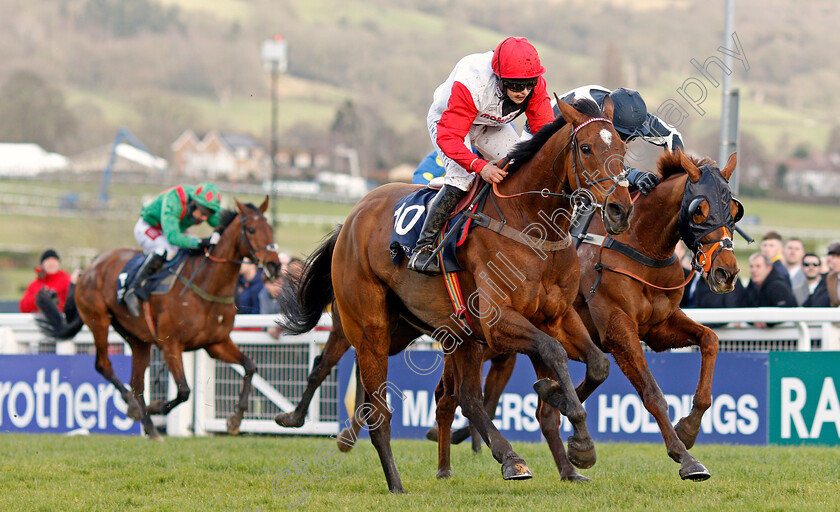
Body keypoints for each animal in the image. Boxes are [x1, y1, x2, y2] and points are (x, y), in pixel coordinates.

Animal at [37, 198, 282, 438]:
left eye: (271, 229)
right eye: (251, 229)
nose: (275, 265)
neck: (205, 285)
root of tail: (88, 268)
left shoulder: (216, 343)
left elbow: (250, 366)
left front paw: (235, 419)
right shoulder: (171, 344)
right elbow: (184, 391)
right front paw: (155, 407)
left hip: (137, 338)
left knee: (136, 383)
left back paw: (150, 427)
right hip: (99, 320)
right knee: (104, 365)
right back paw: (134, 408)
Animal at [278, 98, 632, 494]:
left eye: (622, 148)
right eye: (585, 148)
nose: (620, 209)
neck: (529, 226)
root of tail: (352, 217)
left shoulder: (556, 317)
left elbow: (598, 364)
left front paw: (561, 410)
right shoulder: (498, 323)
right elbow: (553, 352)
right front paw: (578, 437)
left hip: (438, 332)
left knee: (465, 398)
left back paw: (509, 458)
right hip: (370, 330)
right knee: (378, 408)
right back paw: (395, 482)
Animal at [434, 148, 740, 480]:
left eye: (734, 210)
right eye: (699, 210)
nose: (726, 272)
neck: (638, 245)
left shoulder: (658, 326)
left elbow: (710, 340)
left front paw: (689, 427)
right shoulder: (617, 330)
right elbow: (652, 393)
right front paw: (685, 457)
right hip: (480, 343)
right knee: (449, 397)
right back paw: (447, 465)